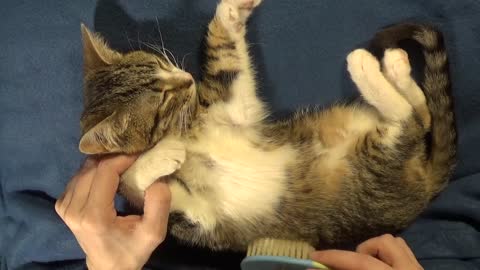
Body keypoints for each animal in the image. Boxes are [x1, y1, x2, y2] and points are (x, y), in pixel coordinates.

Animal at [78, 0, 454, 251]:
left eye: (159, 63)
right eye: (164, 98)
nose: (187, 78)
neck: (187, 130)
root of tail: (425, 184)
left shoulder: (234, 111)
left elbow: (226, 57)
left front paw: (231, 10)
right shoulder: (193, 218)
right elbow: (134, 183)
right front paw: (161, 155)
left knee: (420, 115)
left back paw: (394, 65)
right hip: (374, 165)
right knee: (407, 120)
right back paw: (370, 64)